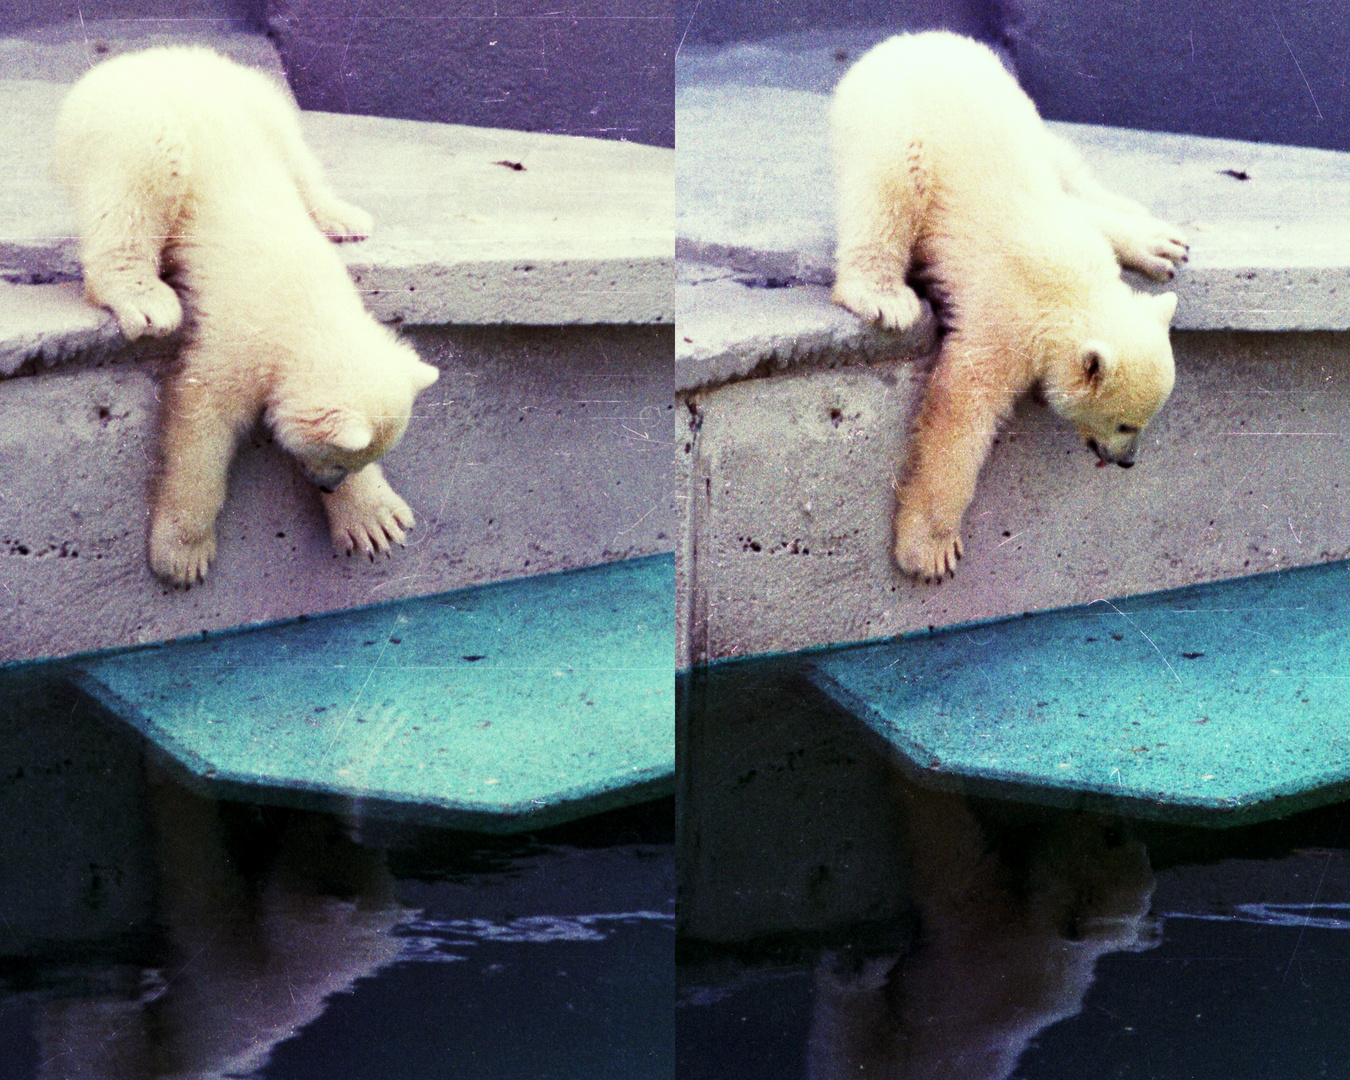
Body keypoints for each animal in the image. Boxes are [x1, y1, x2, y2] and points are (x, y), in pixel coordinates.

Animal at [52, 48, 437, 591]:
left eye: (354, 462)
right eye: (335, 458)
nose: (325, 484)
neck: (308, 310)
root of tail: (144, 56)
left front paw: (375, 521)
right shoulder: (237, 344)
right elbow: (200, 425)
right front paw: (182, 556)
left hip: (250, 96)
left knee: (293, 148)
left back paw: (344, 218)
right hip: (124, 124)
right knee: (138, 183)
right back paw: (147, 299)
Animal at [826, 33, 1188, 583]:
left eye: (1143, 423)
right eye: (1126, 425)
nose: (1128, 461)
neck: (1069, 291)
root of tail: (902, 41)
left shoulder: (1071, 225)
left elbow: (1088, 211)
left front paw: (1157, 247)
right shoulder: (1005, 322)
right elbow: (961, 414)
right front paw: (930, 549)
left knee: (1066, 162)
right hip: (891, 126)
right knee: (886, 192)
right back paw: (883, 296)